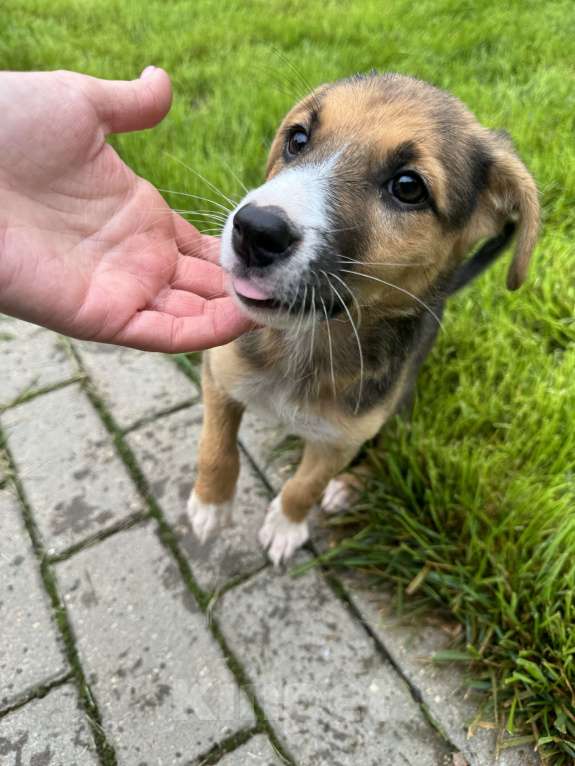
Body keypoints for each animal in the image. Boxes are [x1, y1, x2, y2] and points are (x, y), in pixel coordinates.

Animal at [186, 73, 540, 564]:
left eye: (408, 186)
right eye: (298, 139)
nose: (254, 231)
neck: (309, 341)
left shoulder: (343, 438)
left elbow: (305, 485)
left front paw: (287, 525)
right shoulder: (219, 374)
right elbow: (216, 446)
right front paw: (210, 505)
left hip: (399, 412)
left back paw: (348, 488)